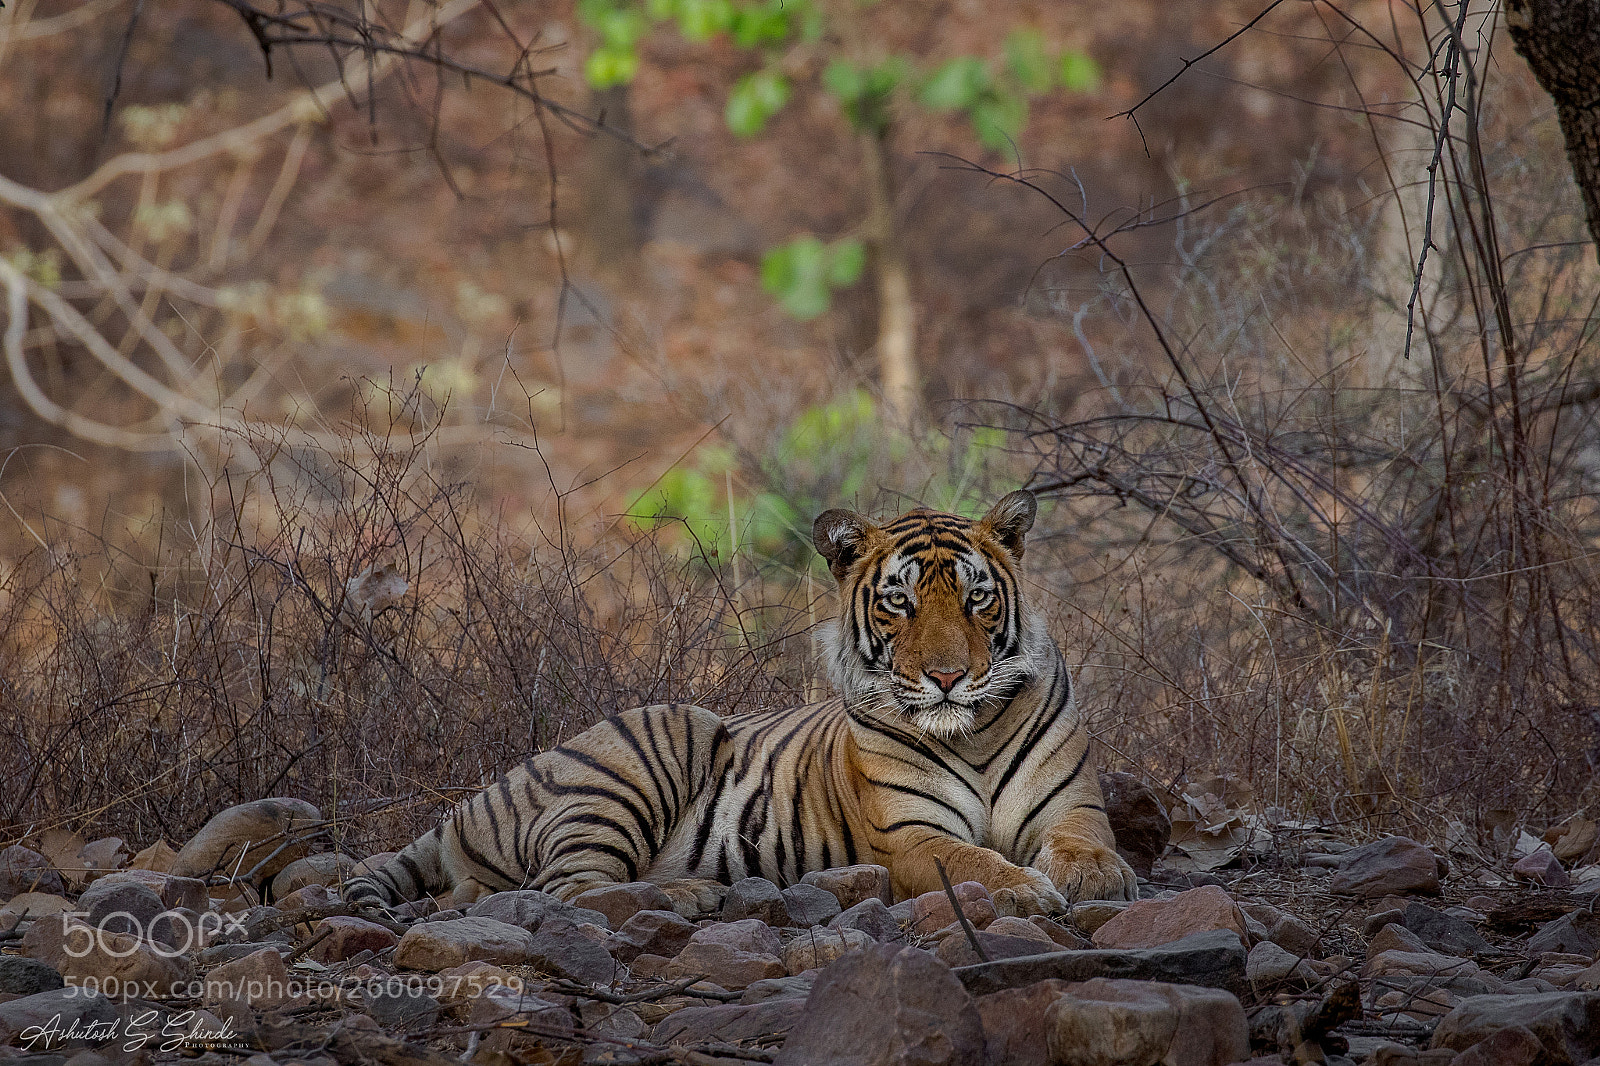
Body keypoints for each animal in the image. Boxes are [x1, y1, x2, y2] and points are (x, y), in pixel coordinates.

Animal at [342, 490, 1137, 916]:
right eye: (898, 603)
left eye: (976, 598)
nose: (946, 677)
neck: (970, 734)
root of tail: (464, 807)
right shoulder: (913, 835)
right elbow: (973, 861)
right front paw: (1029, 891)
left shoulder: (1074, 808)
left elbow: (1088, 846)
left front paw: (1096, 877)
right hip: (655, 744)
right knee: (565, 888)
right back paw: (686, 898)